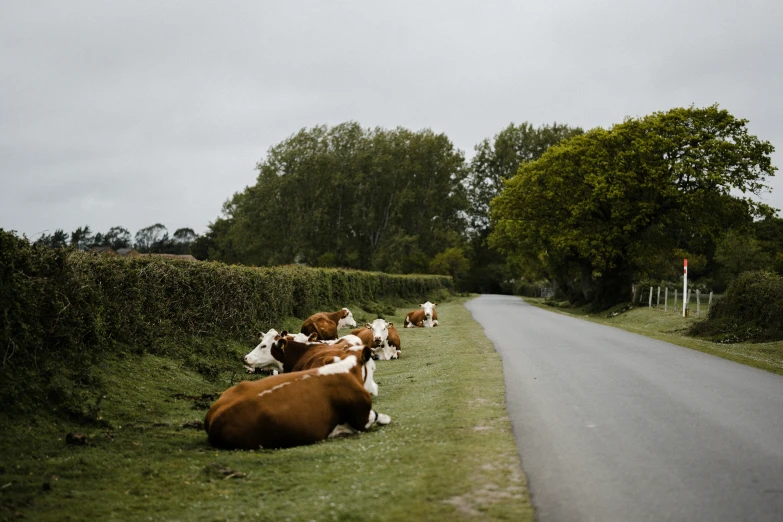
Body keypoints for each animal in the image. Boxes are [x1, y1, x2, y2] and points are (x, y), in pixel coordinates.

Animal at [204, 346, 390, 446]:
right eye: (373, 368)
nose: (375, 389)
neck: (346, 369)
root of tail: (215, 416)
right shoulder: (362, 417)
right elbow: (379, 416)